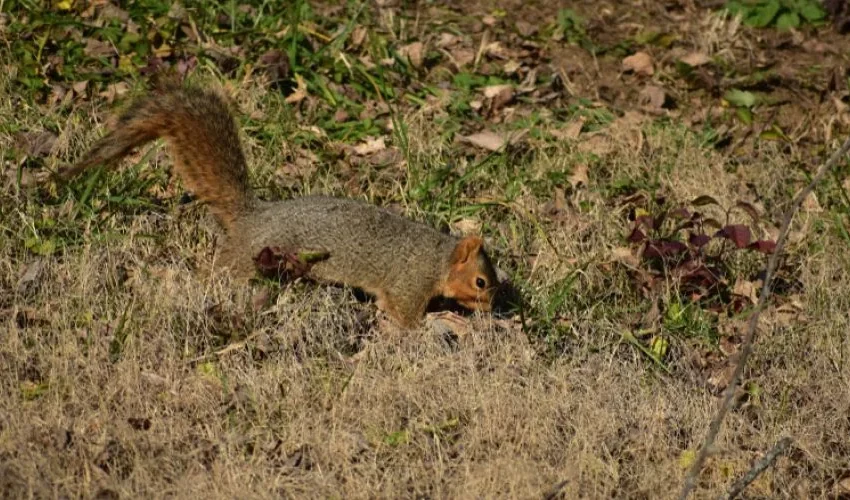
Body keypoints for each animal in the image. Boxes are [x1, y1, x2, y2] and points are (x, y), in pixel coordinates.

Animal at [58, 84, 500, 328]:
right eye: (480, 282)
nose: (493, 309)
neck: (437, 258)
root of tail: (253, 217)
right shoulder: (408, 284)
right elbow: (403, 317)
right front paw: (433, 325)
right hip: (250, 260)